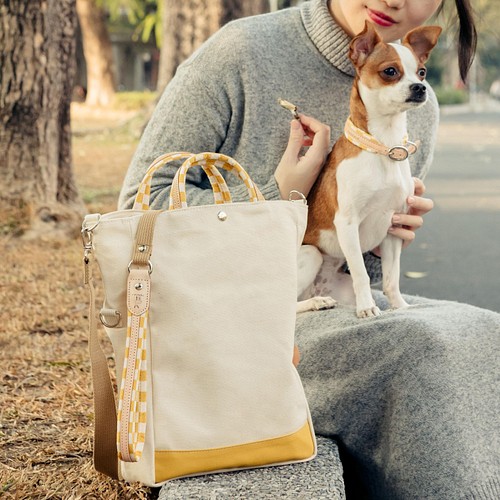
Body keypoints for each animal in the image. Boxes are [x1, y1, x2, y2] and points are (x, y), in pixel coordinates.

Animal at [296, 22, 442, 316]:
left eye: (422, 71)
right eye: (390, 72)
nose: (420, 87)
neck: (383, 146)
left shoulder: (393, 228)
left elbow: (390, 278)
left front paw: (400, 306)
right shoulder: (347, 222)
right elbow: (362, 273)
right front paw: (366, 307)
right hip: (311, 254)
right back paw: (315, 303)